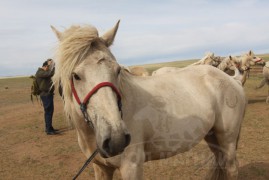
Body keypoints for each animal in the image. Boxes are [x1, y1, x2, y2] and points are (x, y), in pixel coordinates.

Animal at [50, 21, 245, 180]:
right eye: (75, 75)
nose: (116, 139)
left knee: (231, 169)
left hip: (227, 140)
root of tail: (233, 80)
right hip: (212, 137)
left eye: (117, 70)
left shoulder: (131, 167)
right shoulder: (101, 168)